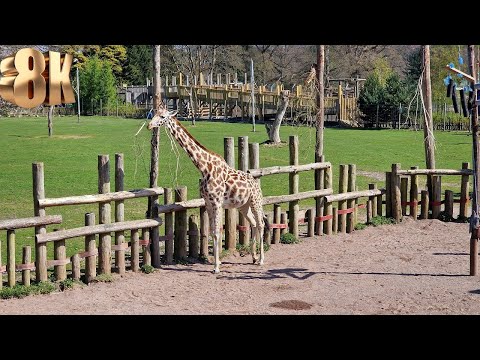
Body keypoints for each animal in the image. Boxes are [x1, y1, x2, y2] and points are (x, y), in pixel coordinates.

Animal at [148, 107, 268, 272]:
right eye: (154, 113)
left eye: (162, 116)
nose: (149, 125)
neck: (204, 168)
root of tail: (256, 183)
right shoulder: (208, 202)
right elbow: (211, 232)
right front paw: (217, 262)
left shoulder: (217, 202)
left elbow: (217, 232)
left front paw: (216, 267)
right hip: (244, 205)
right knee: (254, 224)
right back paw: (254, 257)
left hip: (256, 202)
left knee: (261, 224)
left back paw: (261, 259)